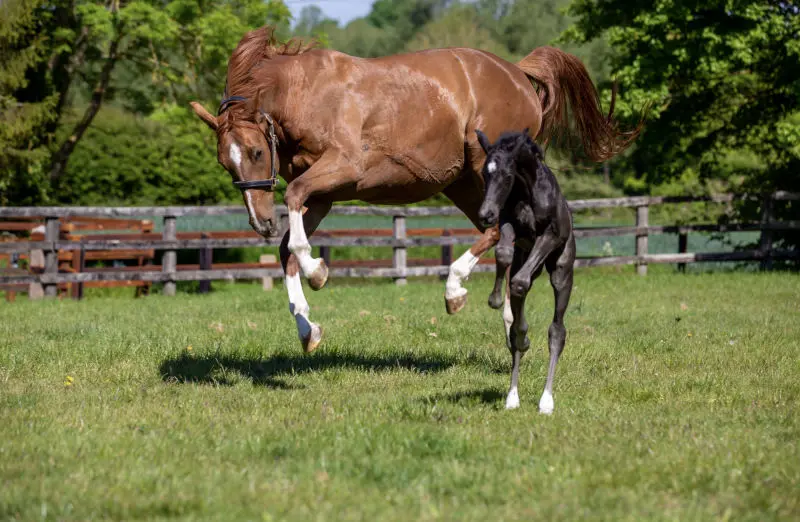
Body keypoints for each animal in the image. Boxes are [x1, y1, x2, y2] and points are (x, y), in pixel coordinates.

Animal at [189, 26, 639, 353]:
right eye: (224, 162)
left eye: (255, 151)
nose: (261, 223)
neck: (306, 93)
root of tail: (517, 72)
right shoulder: (324, 196)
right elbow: (287, 249)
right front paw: (308, 329)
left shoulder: (342, 169)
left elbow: (293, 204)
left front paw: (318, 272)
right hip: (463, 183)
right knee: (498, 234)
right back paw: (507, 320)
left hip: (487, 169)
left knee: (501, 231)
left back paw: (456, 291)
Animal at [476, 130, 575, 413]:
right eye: (484, 173)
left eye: (507, 175)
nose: (485, 214)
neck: (529, 192)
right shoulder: (510, 225)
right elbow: (503, 254)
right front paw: (495, 298)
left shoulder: (550, 235)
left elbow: (519, 282)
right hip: (528, 259)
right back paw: (512, 395)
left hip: (561, 271)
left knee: (557, 331)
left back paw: (546, 400)